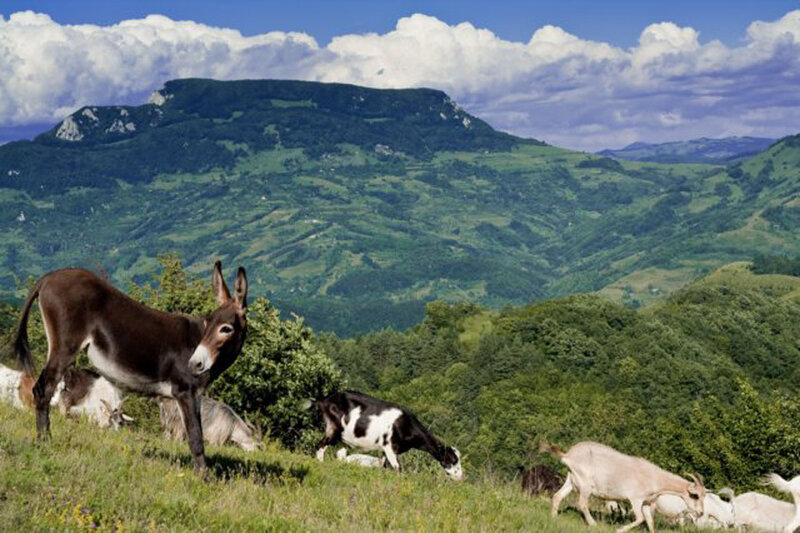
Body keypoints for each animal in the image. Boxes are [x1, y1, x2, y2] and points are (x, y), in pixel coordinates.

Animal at [315, 390, 463, 480]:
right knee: (320, 446)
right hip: (333, 428)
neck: (406, 425)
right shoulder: (390, 447)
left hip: (344, 439)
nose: (460, 476)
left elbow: (383, 466)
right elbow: (398, 469)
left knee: (340, 455)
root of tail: (325, 400)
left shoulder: (385, 451)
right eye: (453, 459)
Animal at [543, 441, 705, 533]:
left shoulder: (647, 502)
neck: (653, 477)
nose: (701, 512)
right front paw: (619, 529)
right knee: (582, 503)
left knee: (557, 496)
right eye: (694, 495)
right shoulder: (636, 499)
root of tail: (568, 455)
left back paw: (554, 518)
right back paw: (593, 524)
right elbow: (640, 518)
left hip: (571, 479)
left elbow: (650, 521)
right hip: (585, 485)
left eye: (703, 495)